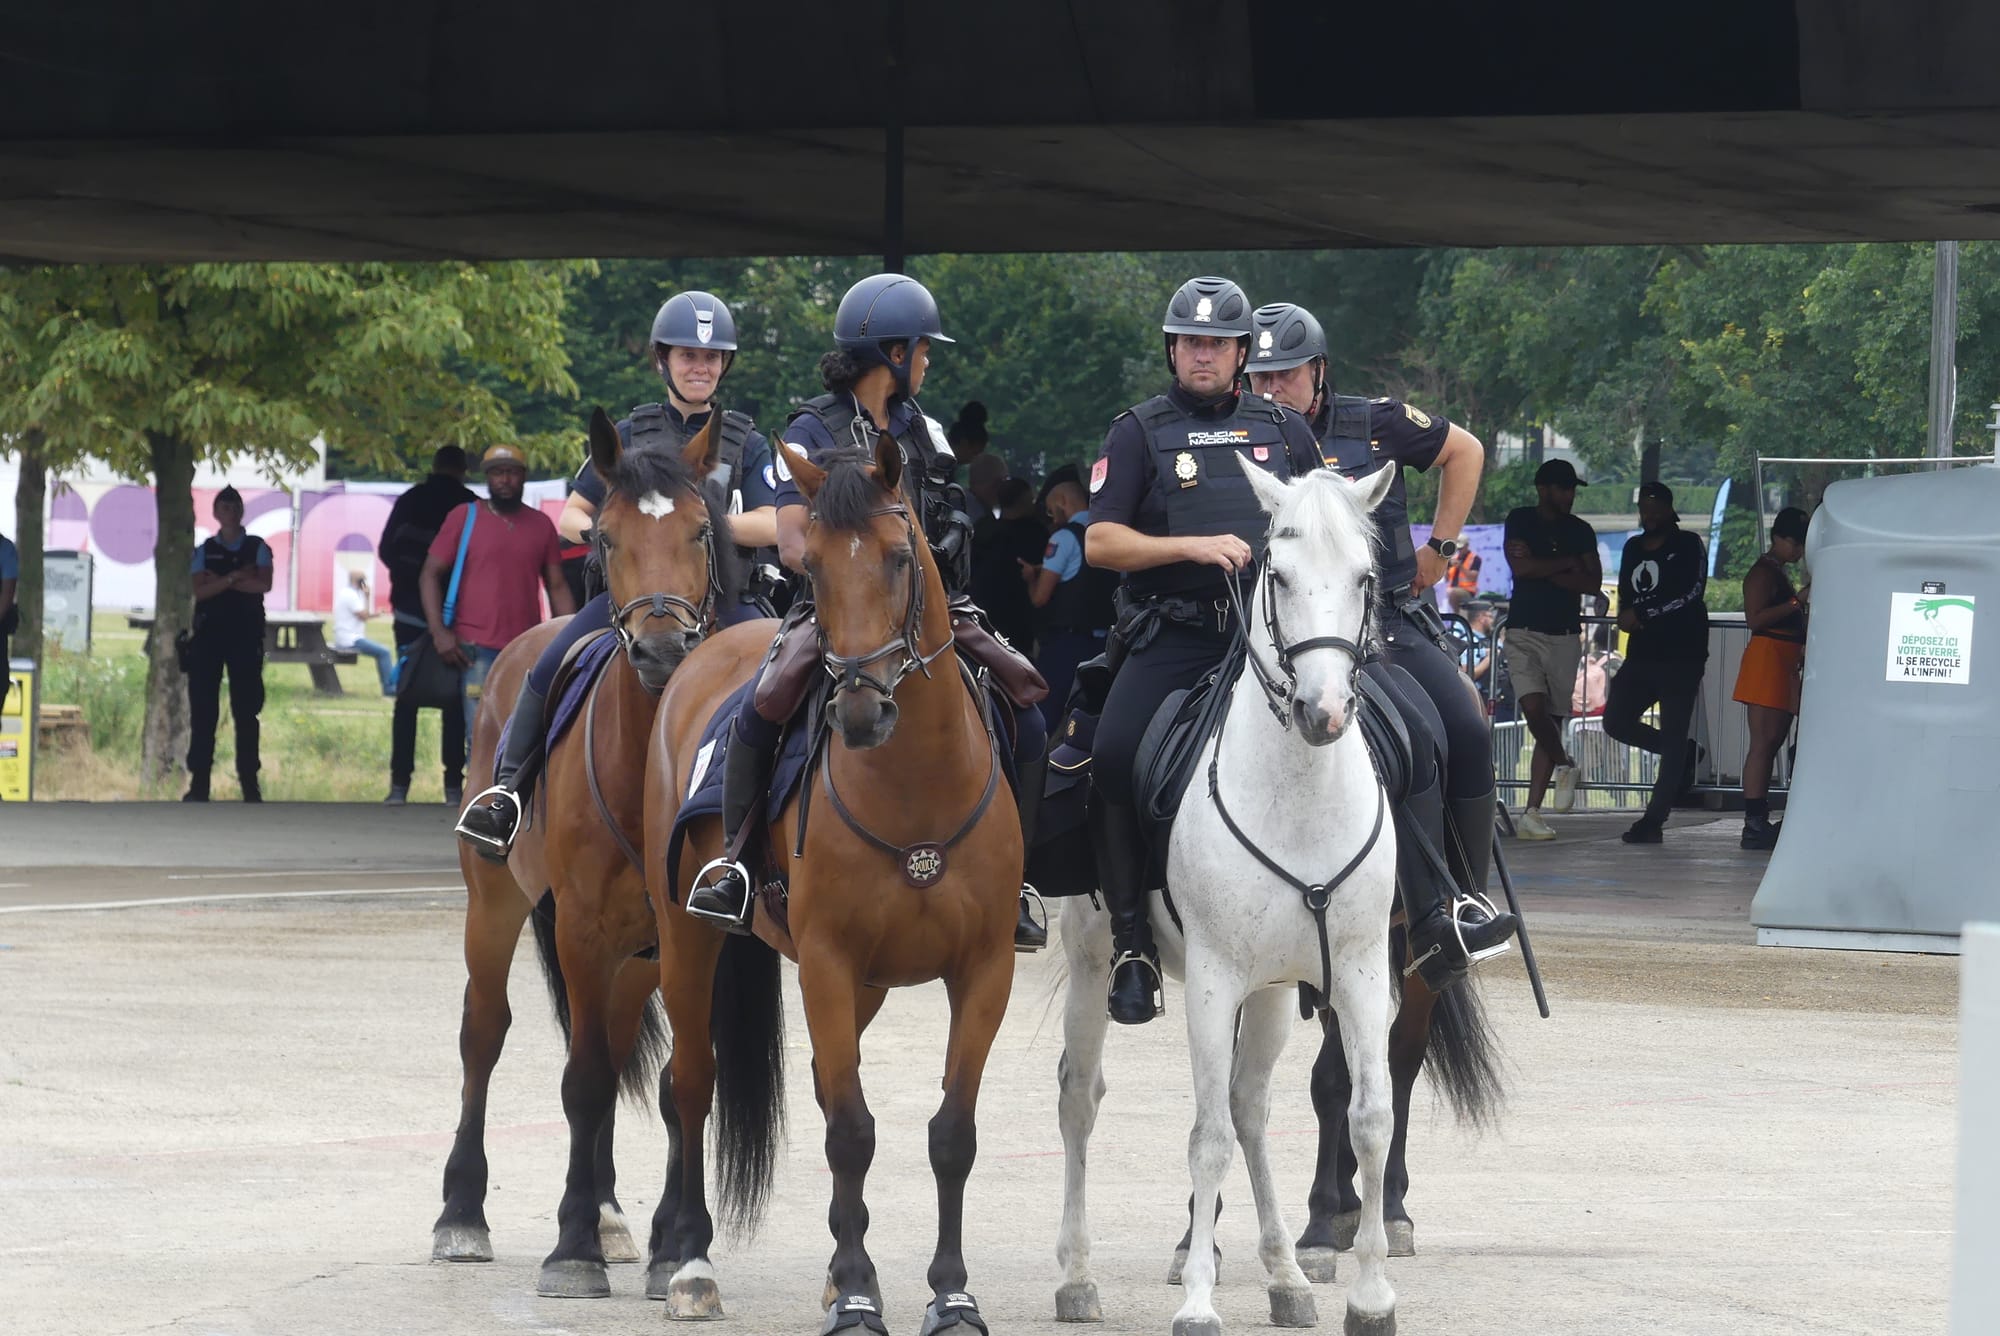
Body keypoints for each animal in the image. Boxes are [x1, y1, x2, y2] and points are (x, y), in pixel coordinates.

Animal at [430, 404, 744, 1296]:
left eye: (703, 529)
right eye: (603, 537)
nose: (663, 650)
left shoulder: (685, 937)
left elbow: (671, 1081)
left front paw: (674, 1244)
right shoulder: (579, 928)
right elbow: (585, 1079)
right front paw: (571, 1246)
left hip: (636, 955)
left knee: (612, 1038)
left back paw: (611, 1215)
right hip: (498, 903)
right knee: (486, 1031)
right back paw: (463, 1213)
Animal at [640, 434, 1016, 1328]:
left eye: (898, 556)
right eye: (811, 566)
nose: (860, 710)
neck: (918, 785)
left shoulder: (984, 970)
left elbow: (951, 1134)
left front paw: (949, 1294)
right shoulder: (826, 964)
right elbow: (851, 1131)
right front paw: (855, 1298)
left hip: (870, 985)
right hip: (687, 937)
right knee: (691, 1084)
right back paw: (689, 1260)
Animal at [1056, 460, 1400, 1336]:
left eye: (1364, 577)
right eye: (1276, 576)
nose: (1324, 711)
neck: (1299, 796)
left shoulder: (1358, 971)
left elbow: (1369, 1117)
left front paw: (1371, 1295)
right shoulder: (1211, 981)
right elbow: (1204, 1135)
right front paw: (1199, 1304)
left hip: (1274, 992)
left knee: (1250, 1107)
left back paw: (1285, 1276)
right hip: (1093, 961)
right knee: (1081, 1097)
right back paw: (1075, 1274)